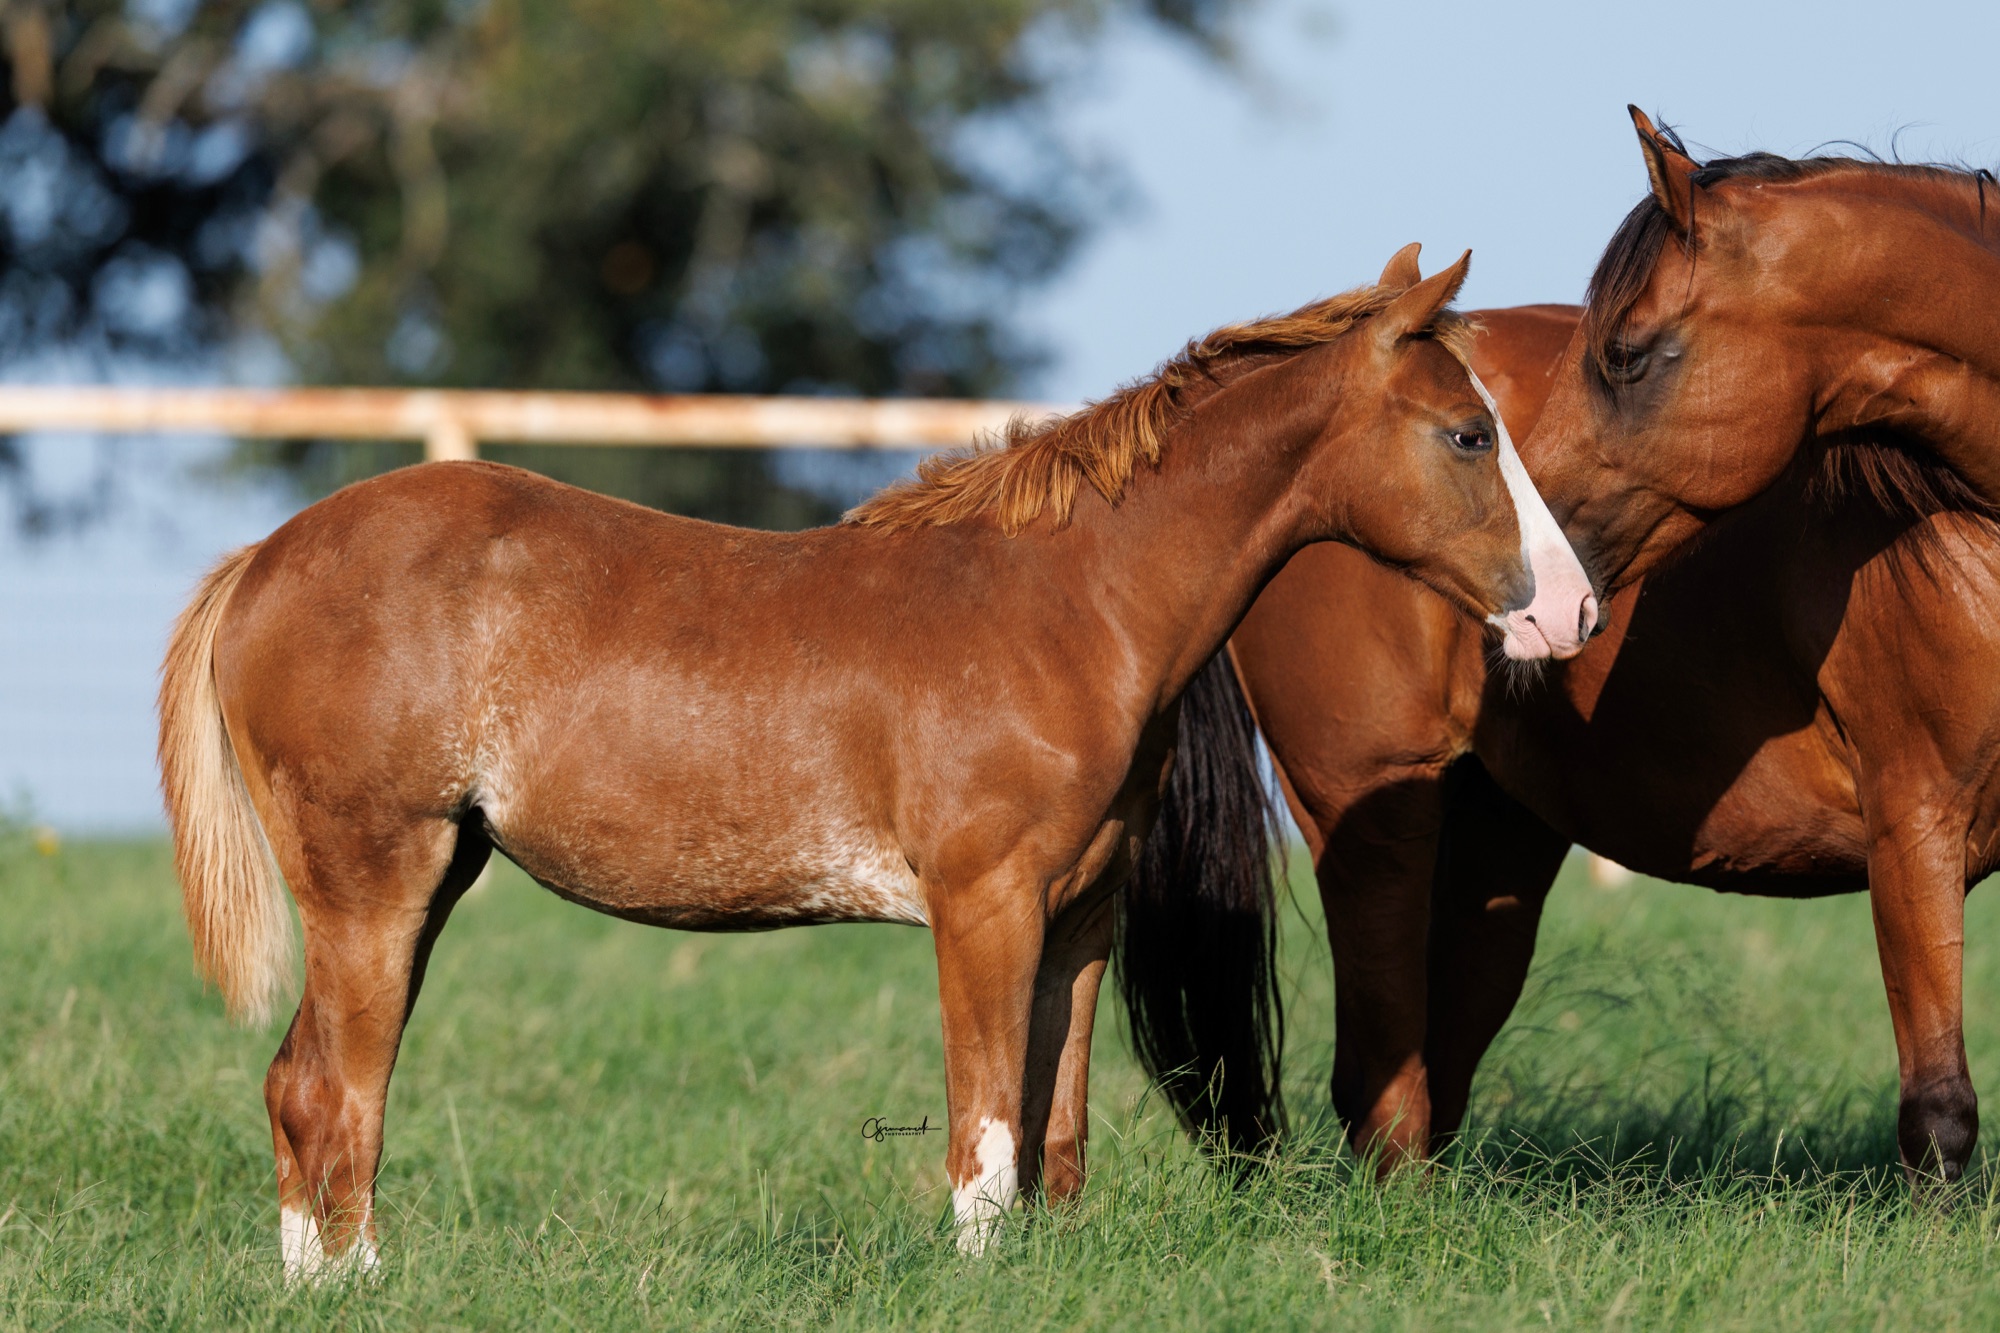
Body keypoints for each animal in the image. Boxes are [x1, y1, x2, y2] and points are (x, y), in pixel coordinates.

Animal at [157, 249, 1599, 1277]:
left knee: (302, 1081)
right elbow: (984, 1133)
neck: (1070, 604)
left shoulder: (1076, 921)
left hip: (431, 876)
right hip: (376, 880)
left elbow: (1054, 1133)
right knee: (332, 1087)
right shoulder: (982, 906)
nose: (1573, 613)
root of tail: (266, 559)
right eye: (1468, 436)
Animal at [1116, 110, 2000, 1190]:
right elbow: (1939, 1115)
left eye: (1624, 352)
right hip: (1367, 812)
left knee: (1438, 1064)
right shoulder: (1912, 826)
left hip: (1501, 834)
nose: (1545, 574)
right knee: (1383, 1089)